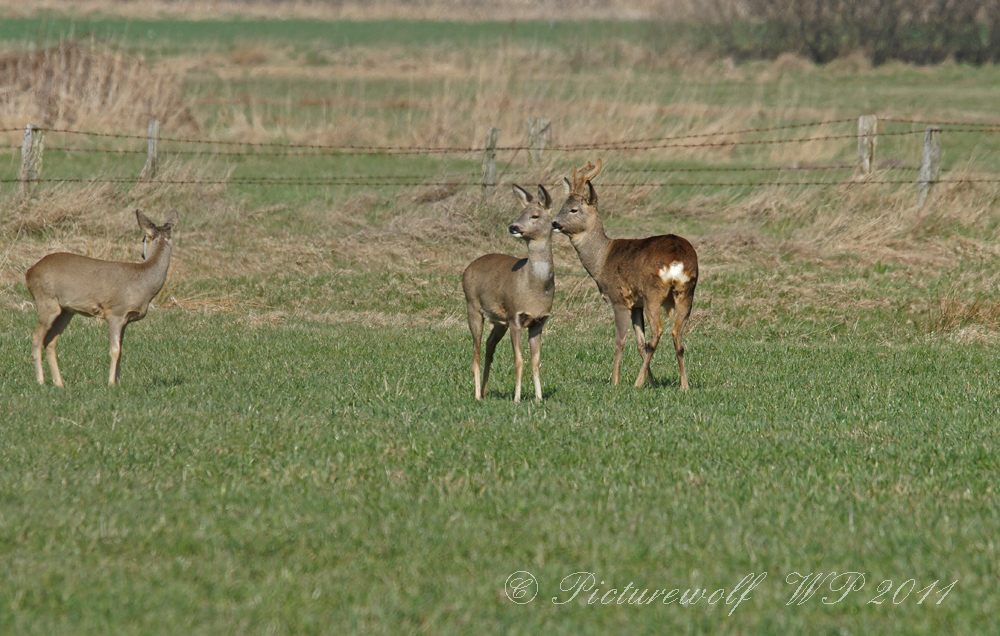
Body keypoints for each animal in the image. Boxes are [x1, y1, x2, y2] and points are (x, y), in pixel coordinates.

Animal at [25, 211, 180, 386]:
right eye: (143, 239)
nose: (142, 254)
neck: (142, 282)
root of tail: (29, 272)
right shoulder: (115, 312)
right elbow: (115, 350)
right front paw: (111, 384)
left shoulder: (126, 319)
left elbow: (121, 349)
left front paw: (118, 382)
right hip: (46, 301)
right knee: (37, 337)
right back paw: (41, 381)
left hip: (65, 311)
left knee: (50, 341)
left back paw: (59, 383)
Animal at [462, 185, 556, 402]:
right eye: (520, 213)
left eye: (534, 215)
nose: (513, 227)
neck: (534, 287)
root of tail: (467, 269)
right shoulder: (515, 316)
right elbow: (519, 360)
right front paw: (517, 398)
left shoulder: (539, 321)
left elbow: (536, 361)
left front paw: (539, 398)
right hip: (473, 307)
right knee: (475, 351)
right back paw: (477, 395)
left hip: (499, 321)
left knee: (489, 345)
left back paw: (485, 392)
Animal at [552, 159, 700, 390]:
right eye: (562, 206)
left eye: (573, 209)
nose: (554, 223)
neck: (602, 259)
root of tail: (676, 257)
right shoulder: (636, 304)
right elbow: (640, 343)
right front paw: (652, 382)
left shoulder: (618, 298)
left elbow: (620, 341)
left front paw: (615, 381)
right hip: (687, 291)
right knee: (677, 334)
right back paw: (684, 385)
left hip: (653, 292)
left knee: (658, 330)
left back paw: (637, 383)